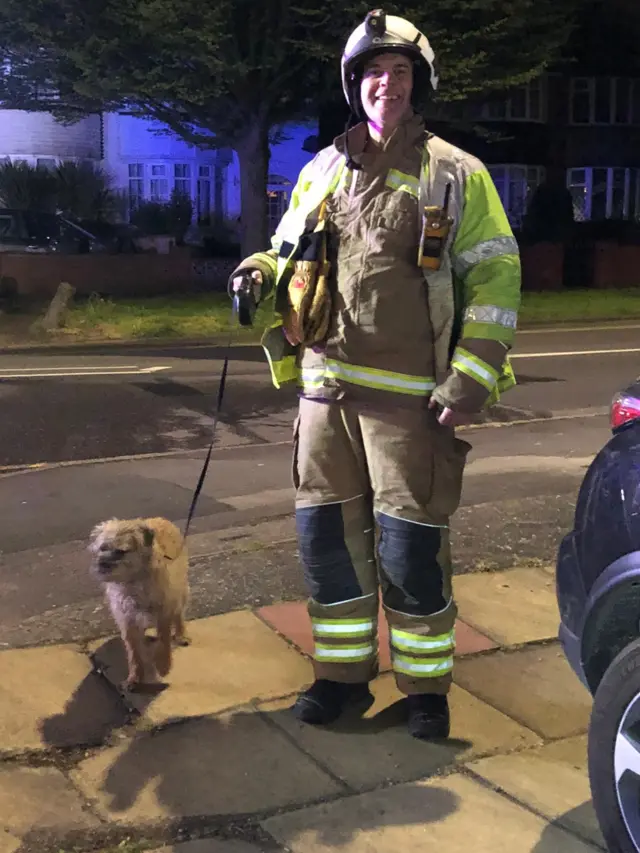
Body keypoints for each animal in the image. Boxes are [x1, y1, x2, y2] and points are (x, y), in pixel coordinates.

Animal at [89, 516, 190, 688]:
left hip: (180, 592)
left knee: (178, 616)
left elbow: (163, 640)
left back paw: (180, 635)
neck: (133, 581)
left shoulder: (163, 612)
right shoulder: (127, 619)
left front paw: (163, 666)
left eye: (120, 552)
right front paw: (135, 677)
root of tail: (160, 518)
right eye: (102, 548)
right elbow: (133, 651)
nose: (101, 564)